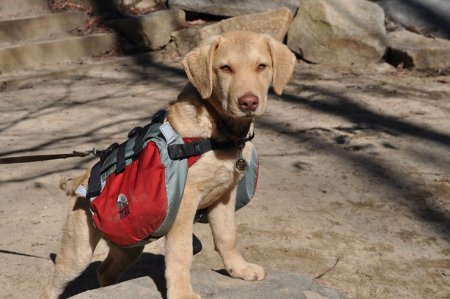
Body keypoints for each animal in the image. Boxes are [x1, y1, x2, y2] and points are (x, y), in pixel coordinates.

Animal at [41, 31, 296, 299]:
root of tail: (81, 180)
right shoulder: (185, 203)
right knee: (51, 285)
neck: (218, 130)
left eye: (262, 66)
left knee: (105, 271)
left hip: (129, 244)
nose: (248, 102)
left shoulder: (223, 197)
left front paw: (239, 269)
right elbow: (181, 253)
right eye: (225, 68)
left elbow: (228, 237)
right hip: (78, 251)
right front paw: (182, 293)